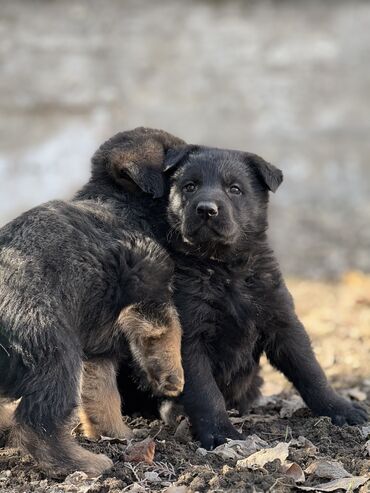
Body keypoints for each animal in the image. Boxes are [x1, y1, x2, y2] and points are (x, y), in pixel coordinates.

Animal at [0, 127, 185, 472]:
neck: (120, 203)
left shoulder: (98, 348)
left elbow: (102, 393)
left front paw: (116, 433)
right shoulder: (151, 292)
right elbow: (170, 331)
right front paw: (173, 377)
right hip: (56, 355)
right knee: (37, 424)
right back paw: (85, 463)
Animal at [163, 144, 368, 448]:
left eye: (234, 189)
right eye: (190, 186)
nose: (206, 209)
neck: (225, 269)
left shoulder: (283, 321)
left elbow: (311, 371)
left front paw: (341, 408)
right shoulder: (190, 336)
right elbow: (205, 391)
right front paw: (220, 432)